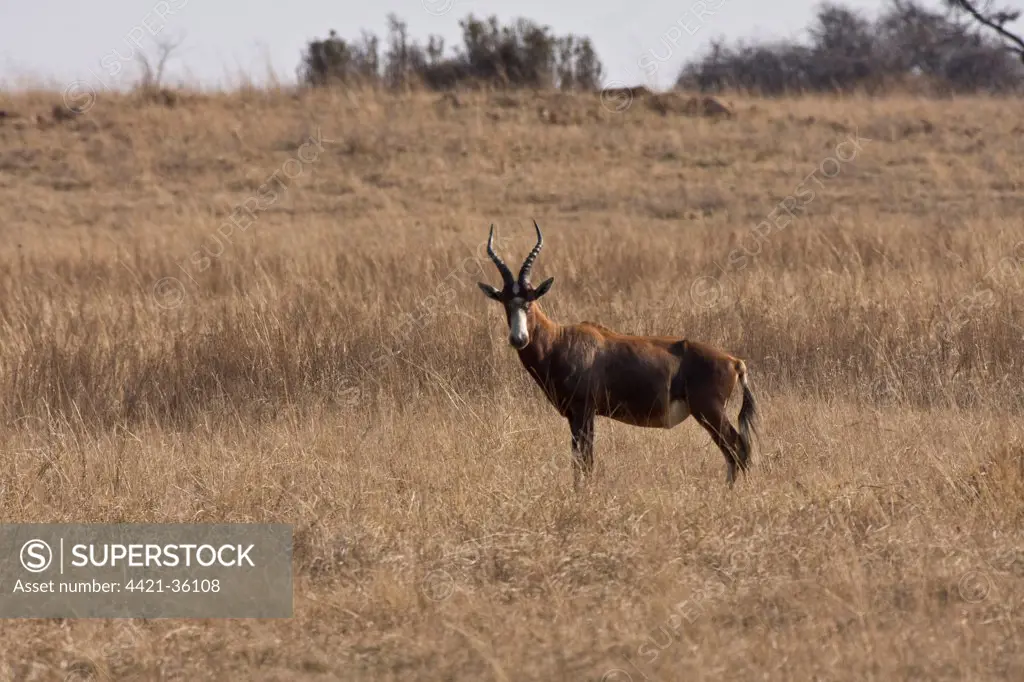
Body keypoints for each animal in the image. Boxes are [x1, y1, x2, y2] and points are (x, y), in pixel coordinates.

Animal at [475, 220, 757, 485]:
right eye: (505, 302)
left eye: (531, 300)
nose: (518, 339)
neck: (561, 339)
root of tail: (735, 362)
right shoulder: (574, 416)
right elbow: (578, 460)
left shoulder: (584, 411)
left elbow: (585, 460)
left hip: (710, 411)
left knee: (738, 447)